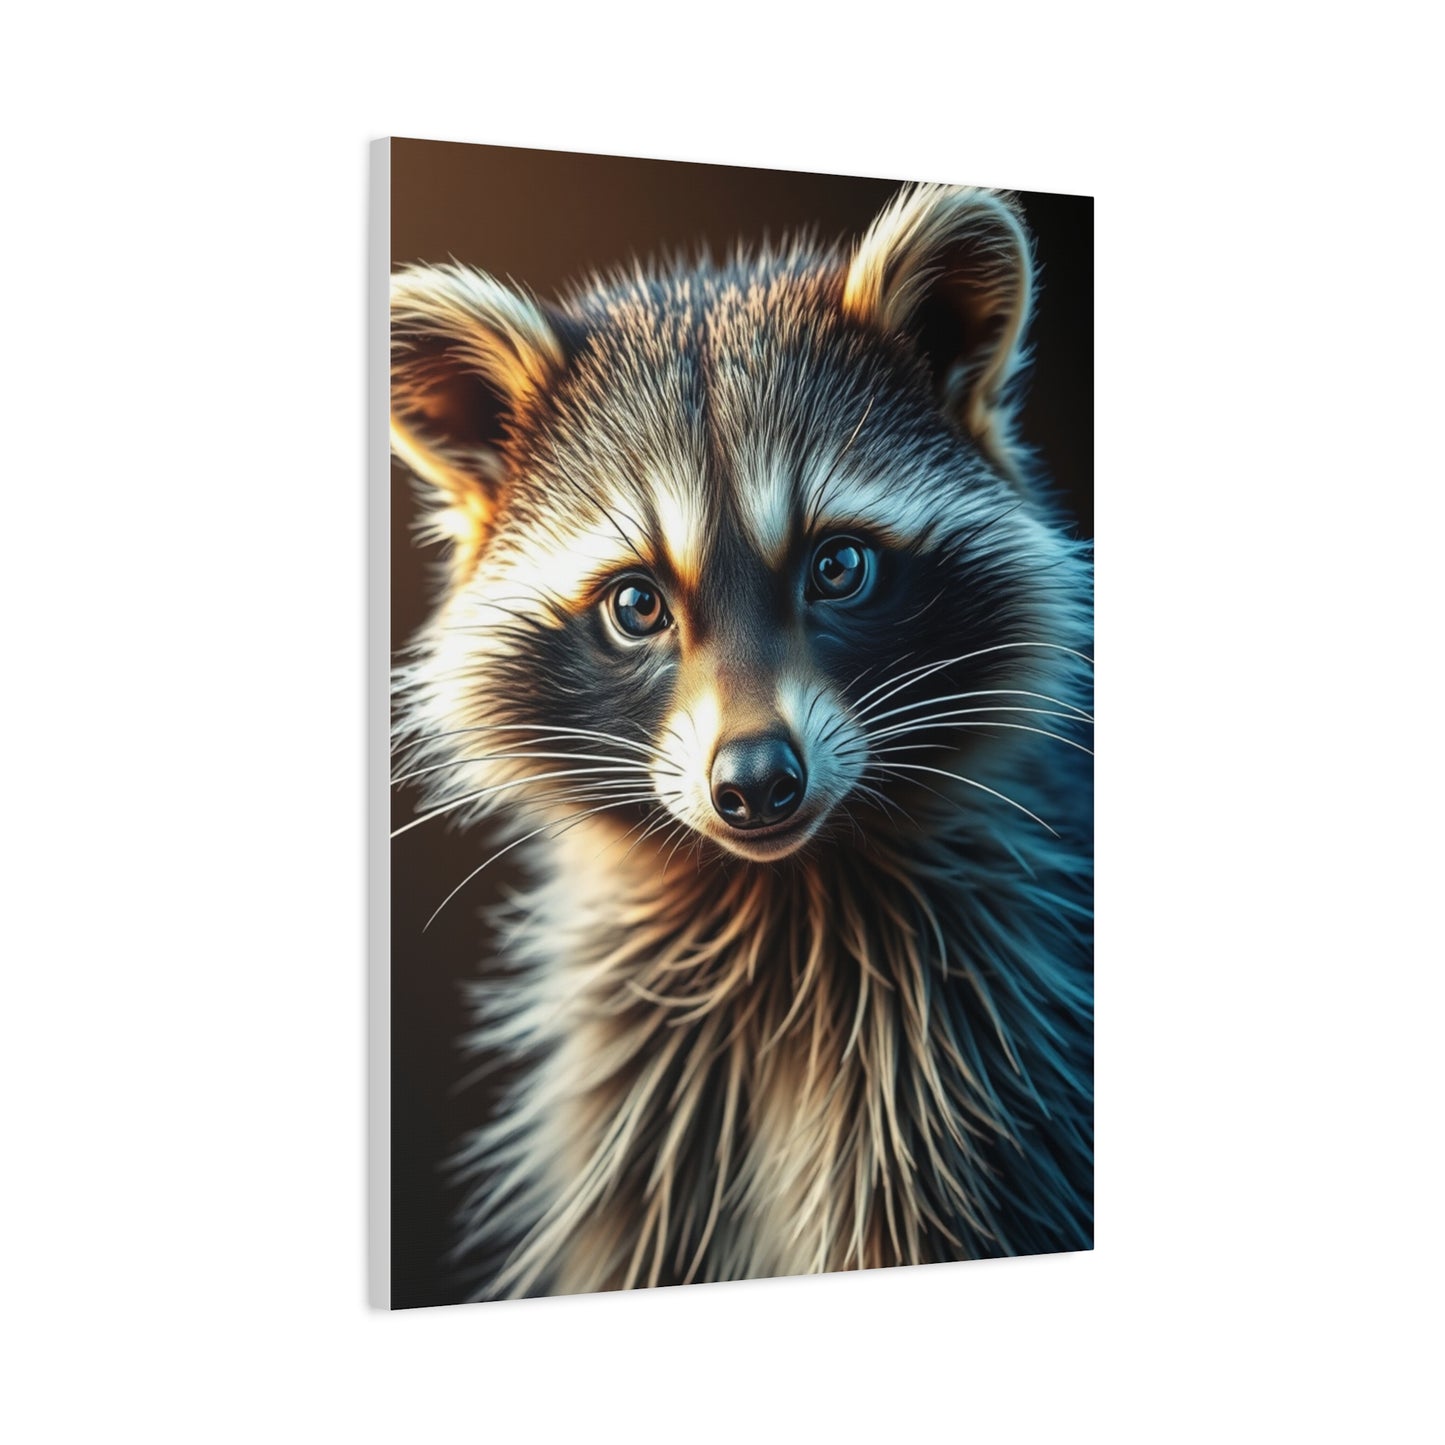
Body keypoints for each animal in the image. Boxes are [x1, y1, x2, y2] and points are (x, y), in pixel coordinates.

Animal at [391, 183, 1093, 1300]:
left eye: (838, 566)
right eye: (635, 603)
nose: (758, 781)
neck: (781, 896)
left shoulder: (978, 1070)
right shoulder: (645, 1109)